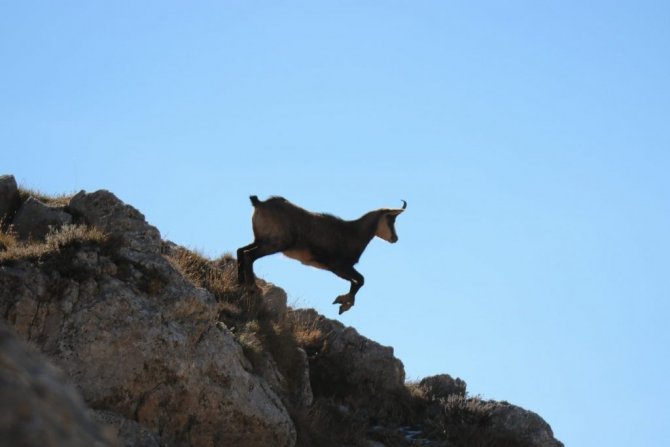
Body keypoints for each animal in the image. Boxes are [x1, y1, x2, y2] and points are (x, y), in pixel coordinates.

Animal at [237, 196, 406, 314]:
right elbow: (361, 280)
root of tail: (259, 203)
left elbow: (356, 281)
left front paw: (342, 302)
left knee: (240, 251)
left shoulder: (336, 269)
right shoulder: (339, 266)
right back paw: (252, 287)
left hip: (260, 240)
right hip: (274, 243)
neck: (354, 233)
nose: (395, 239)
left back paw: (240, 283)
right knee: (249, 255)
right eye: (391, 219)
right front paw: (344, 303)